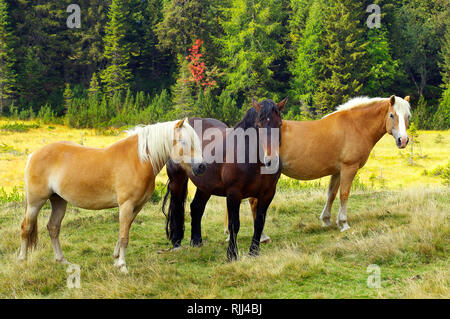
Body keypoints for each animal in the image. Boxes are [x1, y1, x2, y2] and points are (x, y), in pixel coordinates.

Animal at [18, 119, 206, 274]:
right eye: (183, 141)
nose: (201, 167)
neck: (138, 160)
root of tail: (33, 155)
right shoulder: (126, 205)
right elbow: (124, 236)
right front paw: (122, 266)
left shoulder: (136, 207)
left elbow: (125, 230)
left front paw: (116, 259)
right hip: (36, 202)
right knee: (26, 227)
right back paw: (22, 260)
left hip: (58, 201)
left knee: (53, 228)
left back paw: (62, 261)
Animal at [163, 99, 286, 262]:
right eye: (259, 125)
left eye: (279, 124)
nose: (271, 161)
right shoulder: (234, 193)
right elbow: (234, 224)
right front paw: (232, 254)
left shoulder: (268, 194)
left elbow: (259, 223)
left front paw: (254, 252)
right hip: (177, 180)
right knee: (177, 207)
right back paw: (176, 242)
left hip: (205, 186)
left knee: (196, 207)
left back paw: (196, 241)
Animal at [225, 94, 412, 239]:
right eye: (392, 115)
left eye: (408, 116)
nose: (403, 140)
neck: (356, 125)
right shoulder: (349, 168)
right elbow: (344, 194)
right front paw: (343, 223)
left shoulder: (337, 171)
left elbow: (331, 194)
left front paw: (326, 220)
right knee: (253, 202)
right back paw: (261, 236)